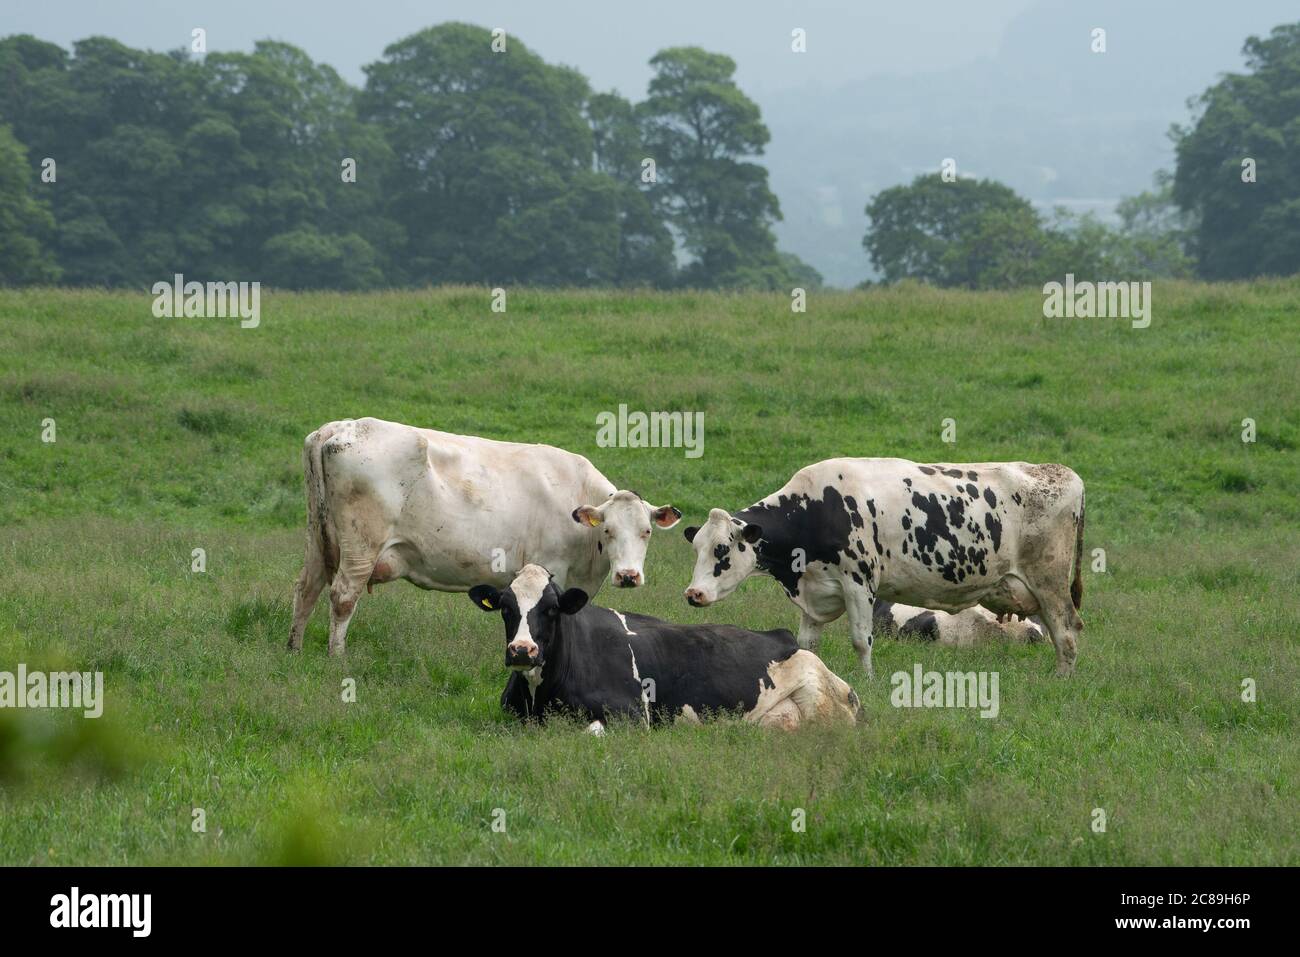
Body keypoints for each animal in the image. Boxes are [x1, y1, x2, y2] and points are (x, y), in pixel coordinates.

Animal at [289, 418, 681, 657]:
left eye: (646, 532)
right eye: (608, 530)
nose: (628, 576)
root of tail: (342, 427)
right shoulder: (549, 567)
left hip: (317, 538)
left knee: (307, 587)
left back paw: (295, 649)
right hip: (361, 546)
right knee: (343, 596)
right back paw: (336, 657)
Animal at [473, 561, 857, 733]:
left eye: (552, 608)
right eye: (505, 608)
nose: (522, 650)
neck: (540, 694)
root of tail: (782, 636)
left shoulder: (631, 715)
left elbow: (591, 730)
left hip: (822, 701)